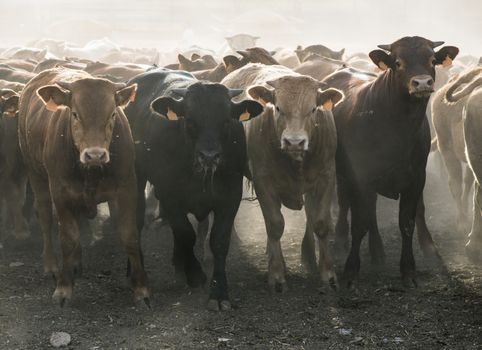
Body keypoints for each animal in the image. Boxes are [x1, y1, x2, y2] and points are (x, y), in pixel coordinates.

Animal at [18, 67, 149, 304]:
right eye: (75, 114)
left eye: (112, 114)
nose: (95, 154)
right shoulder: (60, 192)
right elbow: (68, 238)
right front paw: (63, 287)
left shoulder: (127, 188)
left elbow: (130, 236)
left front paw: (141, 288)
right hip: (36, 175)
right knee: (45, 218)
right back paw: (51, 264)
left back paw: (76, 263)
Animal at [122, 69, 262, 310]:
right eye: (190, 120)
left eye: (226, 120)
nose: (209, 156)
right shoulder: (169, 194)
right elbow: (186, 234)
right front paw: (195, 274)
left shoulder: (230, 197)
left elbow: (219, 241)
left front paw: (218, 292)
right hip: (136, 176)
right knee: (137, 220)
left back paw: (179, 262)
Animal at [222, 64, 342, 292]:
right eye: (278, 108)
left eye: (313, 109)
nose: (294, 142)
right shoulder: (264, 182)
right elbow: (275, 225)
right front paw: (276, 275)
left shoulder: (326, 177)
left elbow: (321, 223)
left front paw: (328, 274)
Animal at [324, 35, 460, 288]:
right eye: (398, 62)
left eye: (432, 60)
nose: (422, 83)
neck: (398, 128)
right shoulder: (362, 176)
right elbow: (359, 223)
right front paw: (350, 271)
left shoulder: (415, 180)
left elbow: (406, 223)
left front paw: (408, 271)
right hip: (342, 173)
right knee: (347, 204)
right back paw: (340, 242)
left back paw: (377, 251)